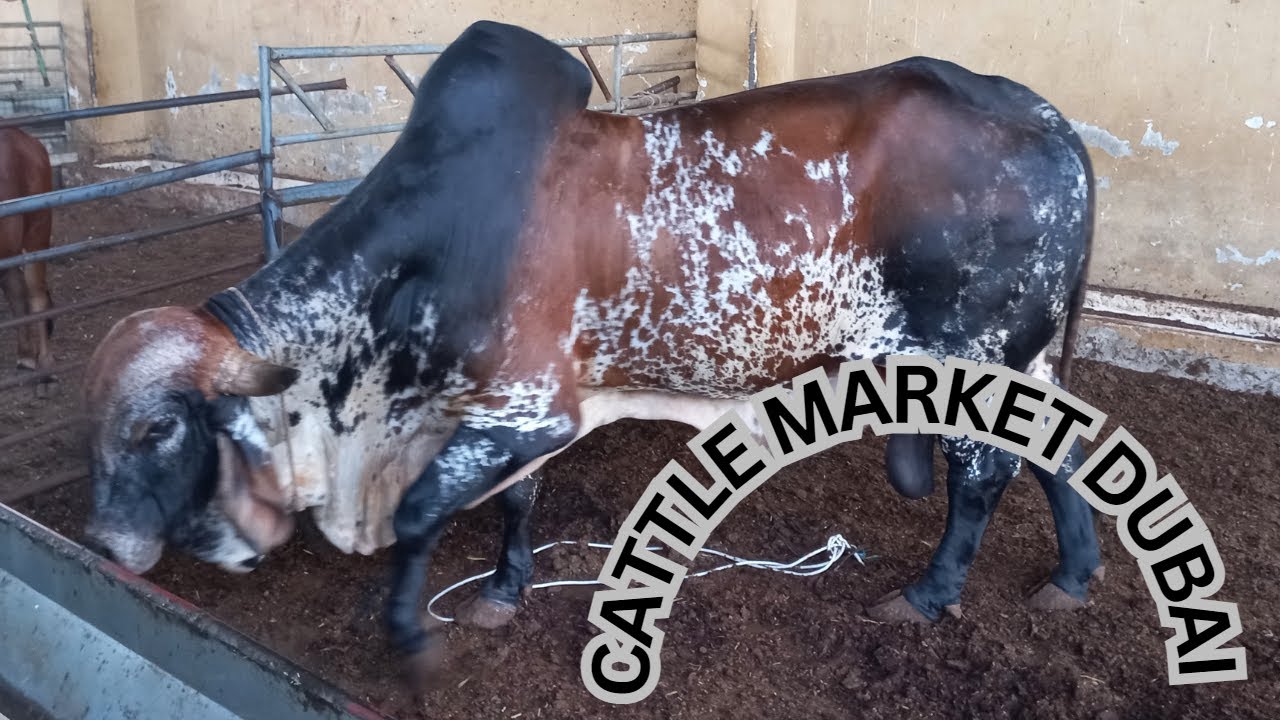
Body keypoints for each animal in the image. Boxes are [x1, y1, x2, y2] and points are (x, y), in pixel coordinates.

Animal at [81, 20, 1103, 687]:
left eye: (156, 429)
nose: (106, 543)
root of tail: (1047, 117)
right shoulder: (516, 406)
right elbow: (514, 503)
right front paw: (502, 592)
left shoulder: (523, 409)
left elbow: (418, 516)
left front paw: (413, 642)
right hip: (1025, 359)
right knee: (1058, 453)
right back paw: (1073, 576)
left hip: (970, 353)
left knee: (983, 478)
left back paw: (929, 594)